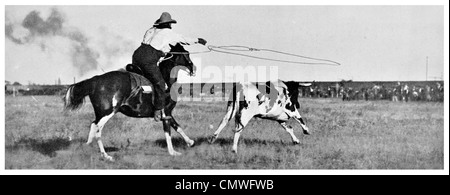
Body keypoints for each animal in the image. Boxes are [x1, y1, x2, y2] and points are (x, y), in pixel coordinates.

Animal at [62, 44, 195, 161]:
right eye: (186, 54)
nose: (193, 68)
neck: (166, 81)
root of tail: (95, 80)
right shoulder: (166, 112)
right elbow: (168, 131)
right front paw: (173, 152)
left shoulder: (168, 114)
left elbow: (177, 127)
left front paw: (190, 142)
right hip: (108, 112)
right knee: (98, 129)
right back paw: (106, 156)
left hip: (100, 113)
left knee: (93, 125)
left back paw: (89, 147)